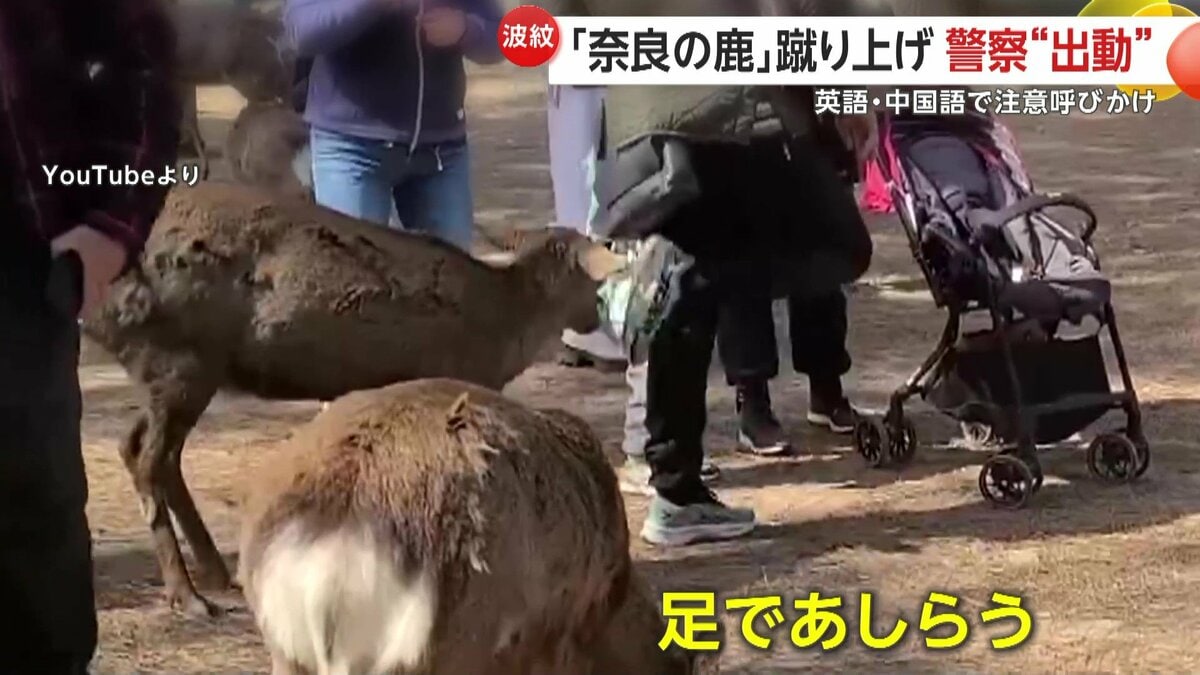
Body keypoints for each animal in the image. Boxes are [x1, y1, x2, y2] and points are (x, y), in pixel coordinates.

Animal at [82, 182, 627, 617]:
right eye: (592, 280)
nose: (595, 317)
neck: (506, 333)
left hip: (175, 368)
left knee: (144, 448)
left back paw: (218, 573)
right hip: (180, 358)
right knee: (148, 457)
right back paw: (188, 595)